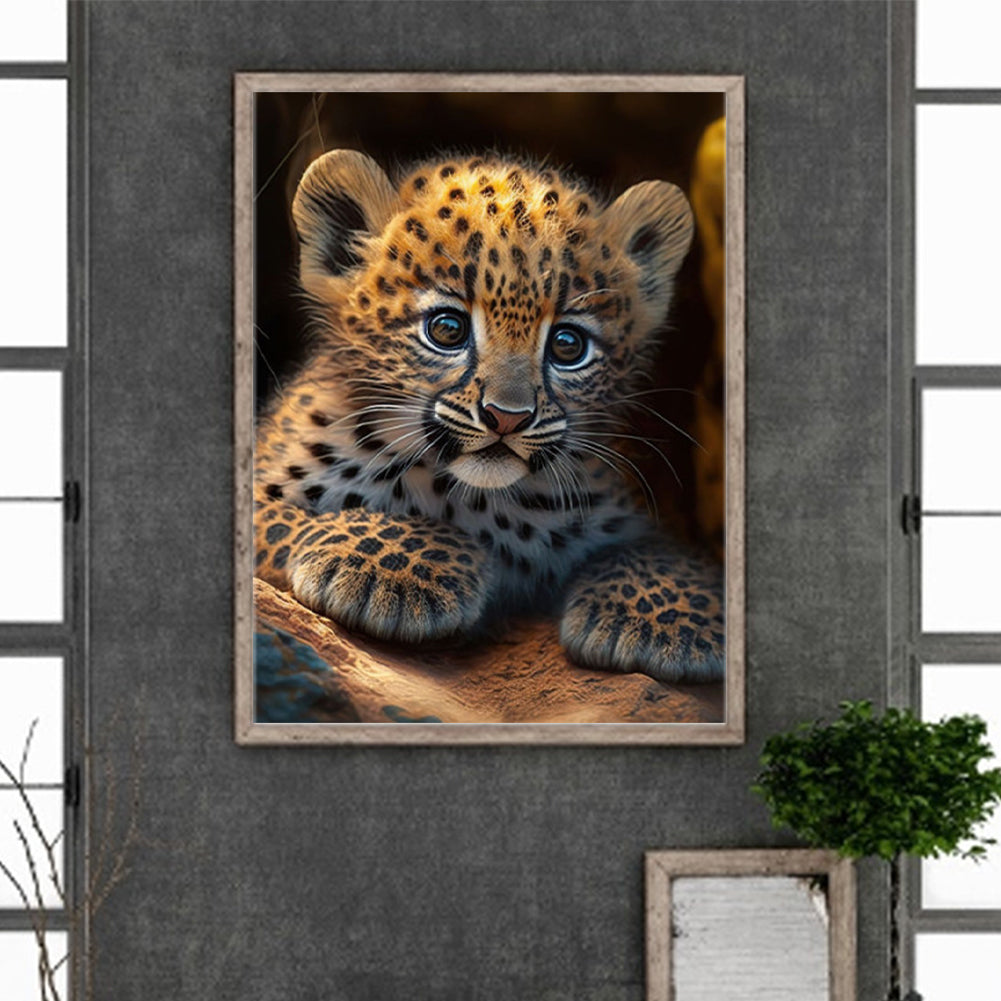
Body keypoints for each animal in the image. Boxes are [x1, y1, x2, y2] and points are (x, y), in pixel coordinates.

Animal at [253, 149, 724, 683]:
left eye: (568, 345)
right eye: (447, 329)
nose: (507, 417)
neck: (474, 502)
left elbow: (655, 551)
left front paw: (664, 618)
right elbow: (285, 517)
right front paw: (395, 565)